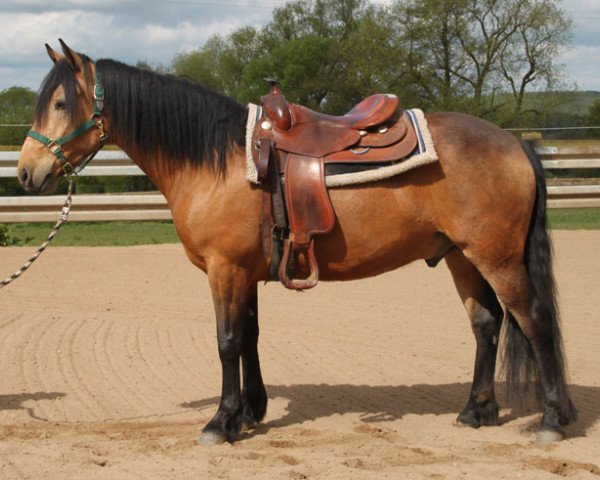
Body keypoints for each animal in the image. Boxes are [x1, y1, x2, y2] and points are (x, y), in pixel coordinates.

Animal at [16, 42, 576, 446]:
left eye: (61, 102)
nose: (25, 172)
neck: (217, 160)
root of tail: (515, 142)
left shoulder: (225, 268)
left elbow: (226, 342)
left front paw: (220, 423)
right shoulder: (244, 271)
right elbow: (249, 336)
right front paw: (249, 413)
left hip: (497, 258)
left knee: (533, 320)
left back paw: (551, 419)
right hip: (461, 256)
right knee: (486, 323)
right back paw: (477, 411)